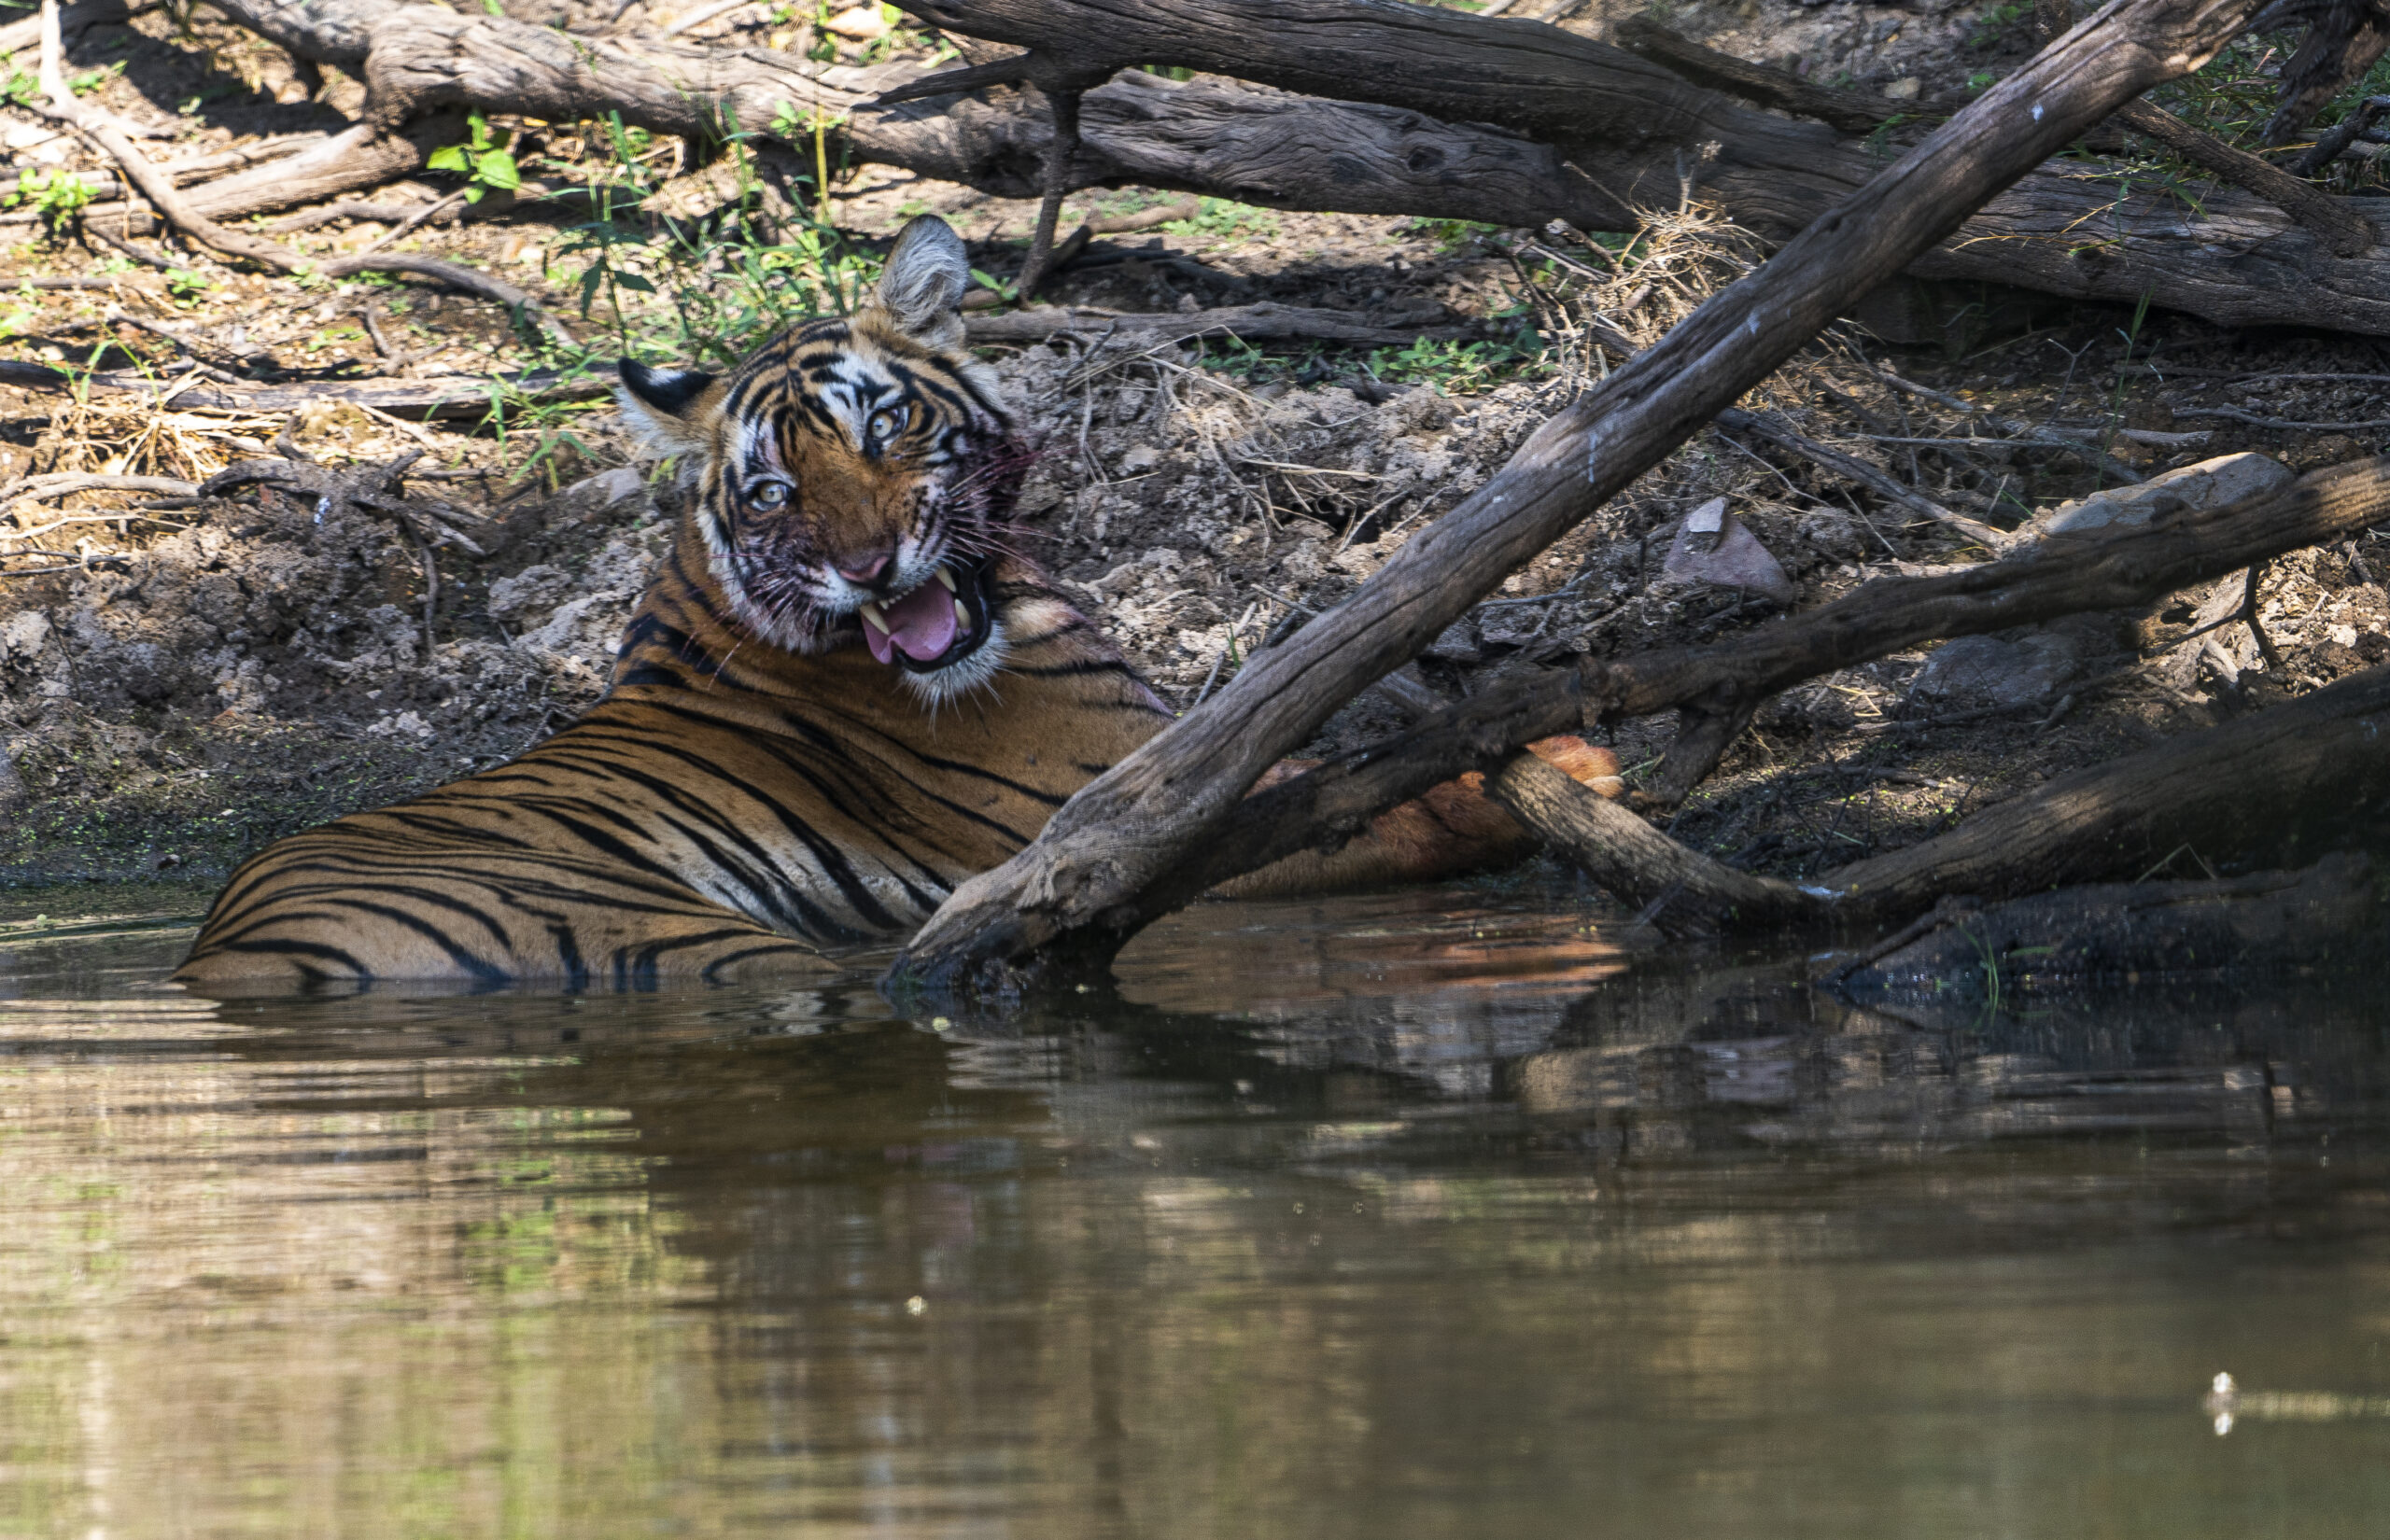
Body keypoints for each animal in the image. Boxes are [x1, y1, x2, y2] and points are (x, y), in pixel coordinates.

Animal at [172, 215, 1618, 993]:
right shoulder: (1133, 804)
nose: (865, 568)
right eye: (769, 492)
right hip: (690, 938)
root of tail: (227, 954)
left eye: (884, 428)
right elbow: (1411, 796)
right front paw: (1573, 760)